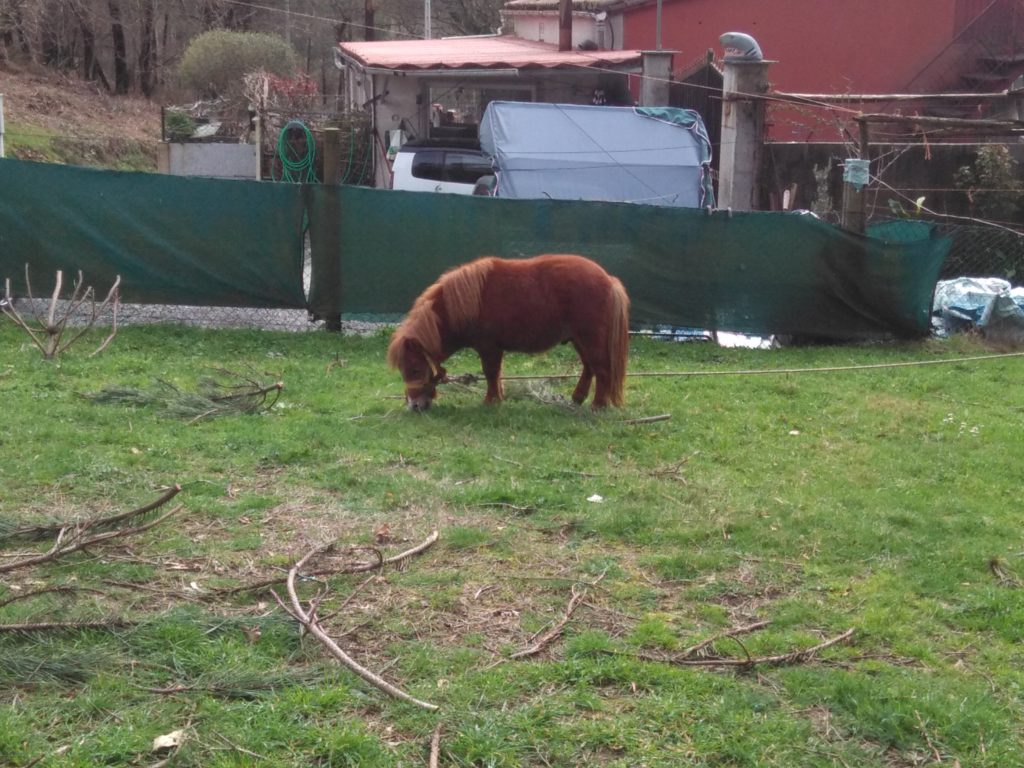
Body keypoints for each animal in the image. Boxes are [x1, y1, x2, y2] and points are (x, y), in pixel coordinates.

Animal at [385, 253, 626, 411]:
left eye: (416, 369)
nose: (414, 406)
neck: (467, 303)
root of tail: (608, 279)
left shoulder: (488, 347)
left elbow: (491, 372)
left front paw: (490, 402)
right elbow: (496, 374)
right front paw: (498, 398)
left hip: (590, 339)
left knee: (602, 370)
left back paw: (598, 405)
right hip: (579, 340)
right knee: (589, 367)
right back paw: (578, 398)